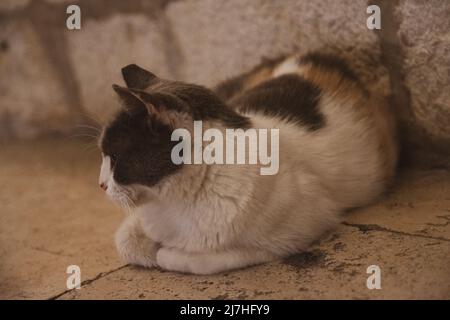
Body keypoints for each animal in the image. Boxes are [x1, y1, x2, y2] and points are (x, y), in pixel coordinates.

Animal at [98, 52, 398, 276]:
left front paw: (164, 252)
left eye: (115, 157)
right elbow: (125, 241)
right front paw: (147, 246)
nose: (101, 185)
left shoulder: (302, 227)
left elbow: (199, 259)